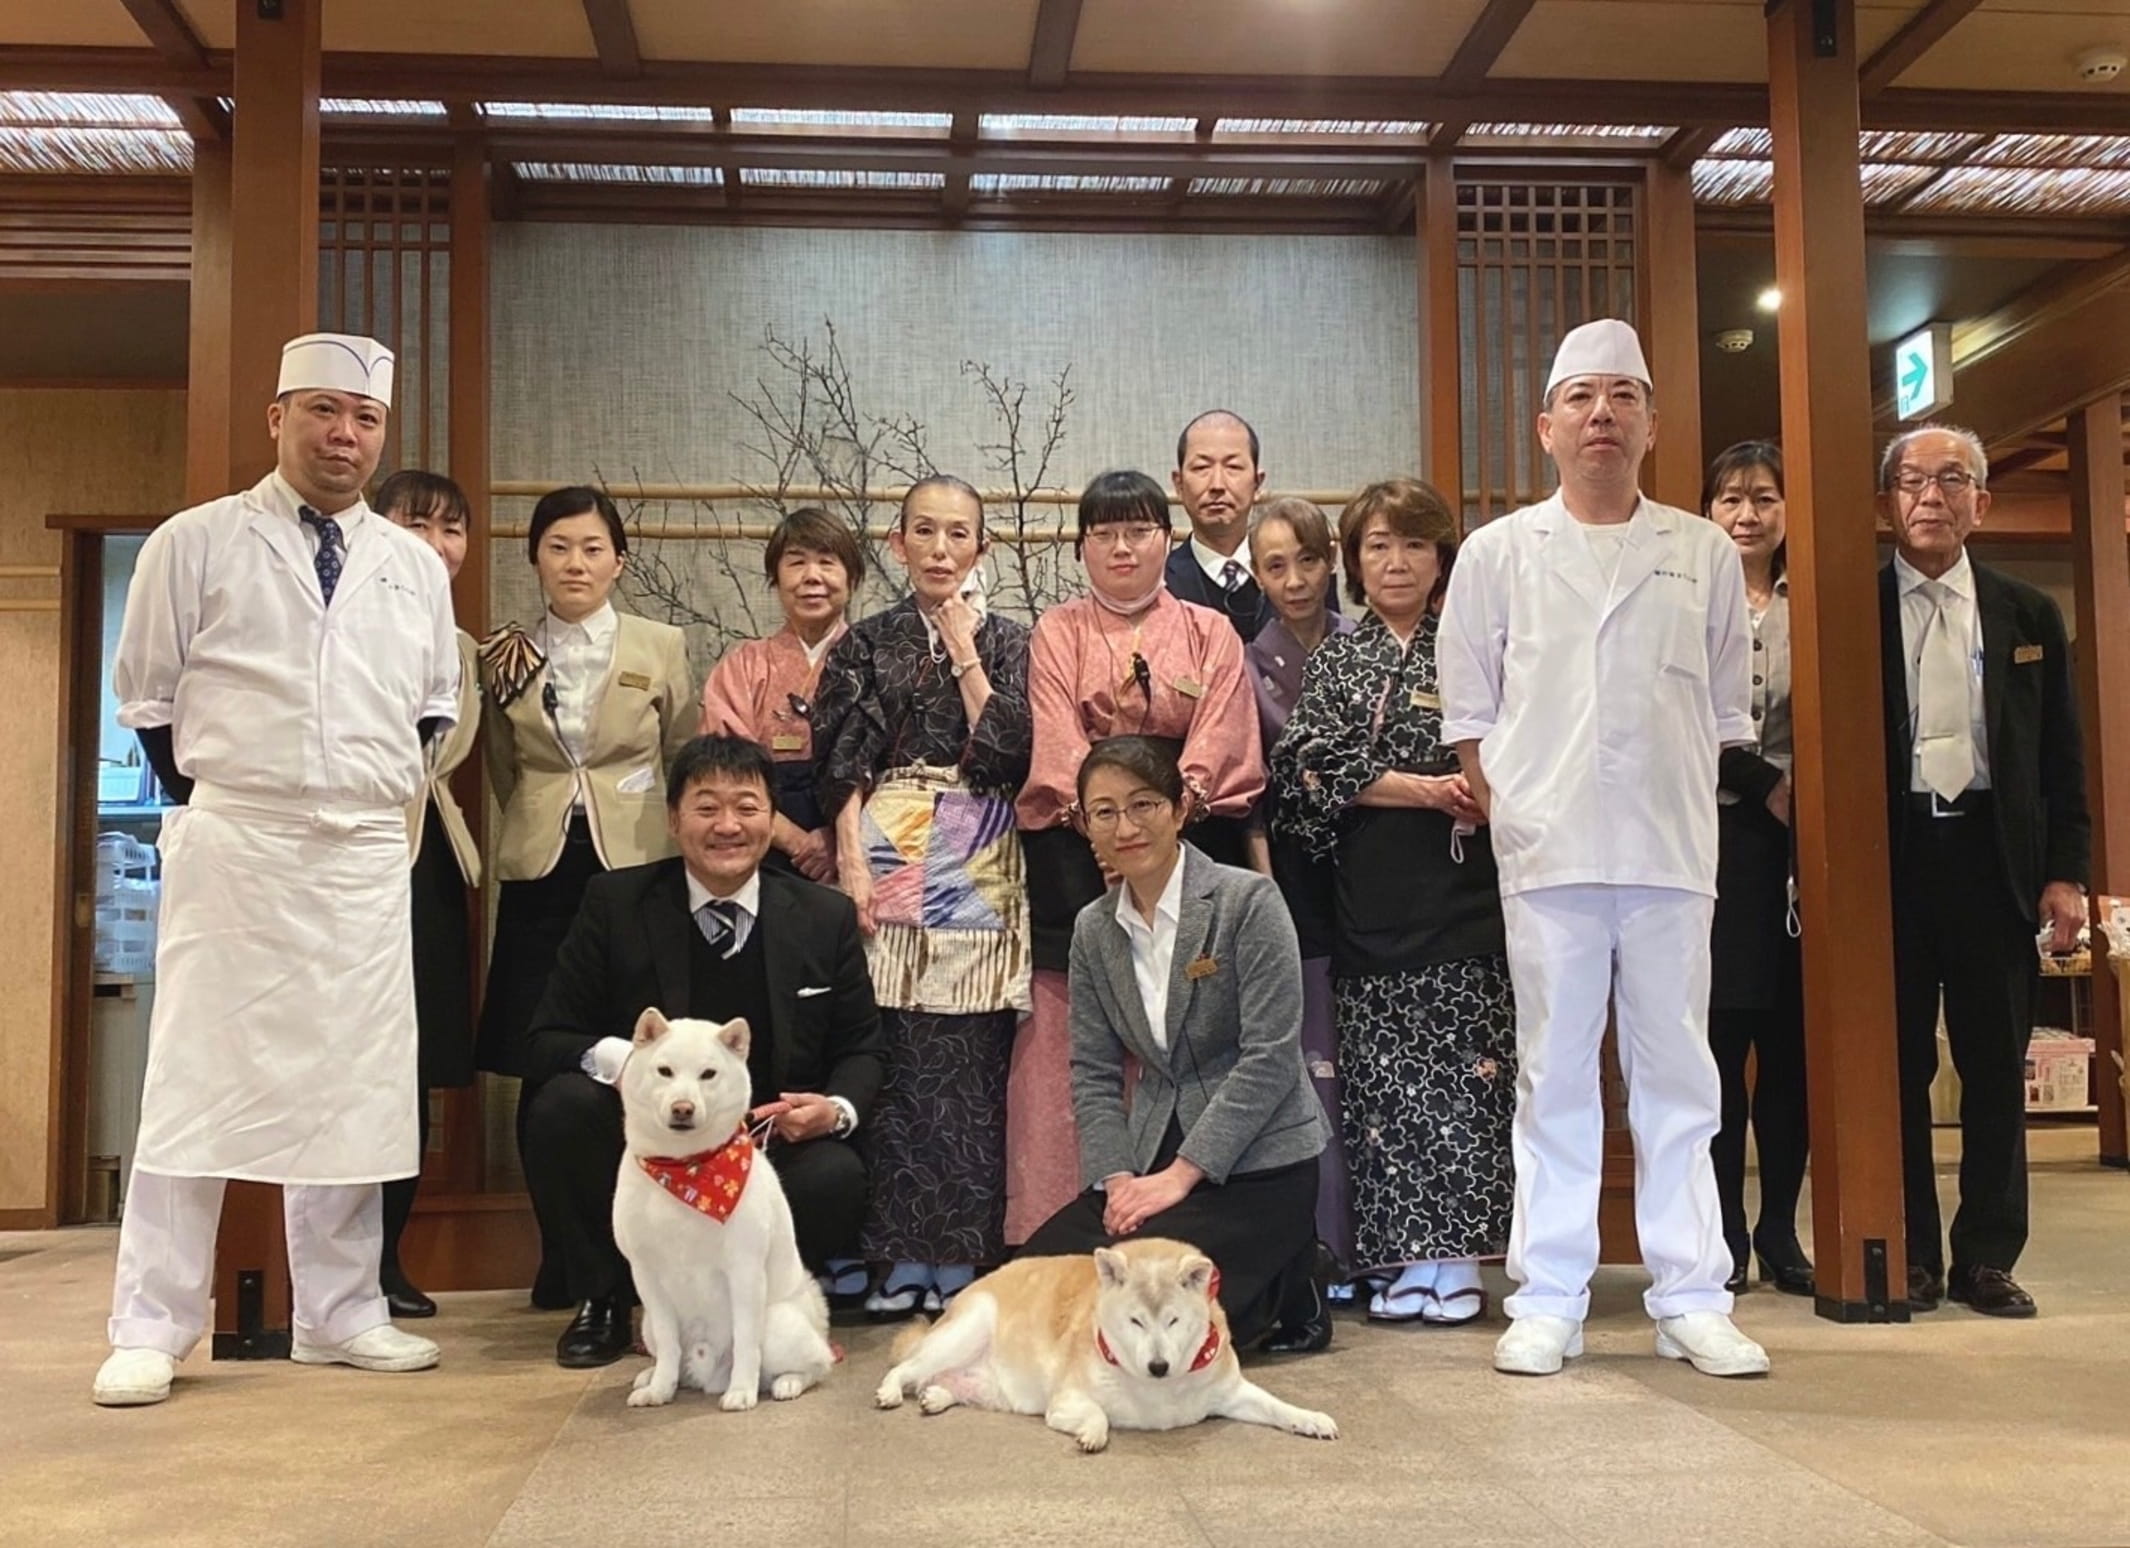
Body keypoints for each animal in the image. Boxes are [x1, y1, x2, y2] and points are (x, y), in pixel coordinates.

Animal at [613, 1009, 834, 1413]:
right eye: (664, 1071)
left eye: (708, 1074)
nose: (682, 1108)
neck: (685, 1169)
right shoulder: (647, 1275)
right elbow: (668, 1344)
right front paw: (660, 1389)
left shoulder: (744, 1269)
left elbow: (746, 1341)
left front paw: (742, 1391)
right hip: (647, 1323)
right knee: (669, 1354)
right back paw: (654, 1377)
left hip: (778, 1323)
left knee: (815, 1363)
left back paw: (787, 1382)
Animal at [873, 1234, 1337, 1456]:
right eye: (1135, 1321)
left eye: (1173, 1320)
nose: (1158, 1366)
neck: (1160, 1389)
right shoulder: (1065, 1400)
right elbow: (1097, 1413)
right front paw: (1093, 1433)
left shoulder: (1231, 1391)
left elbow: (1278, 1408)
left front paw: (1310, 1419)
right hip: (967, 1330)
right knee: (906, 1367)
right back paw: (892, 1391)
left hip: (985, 1384)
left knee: (941, 1384)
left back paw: (937, 1397)